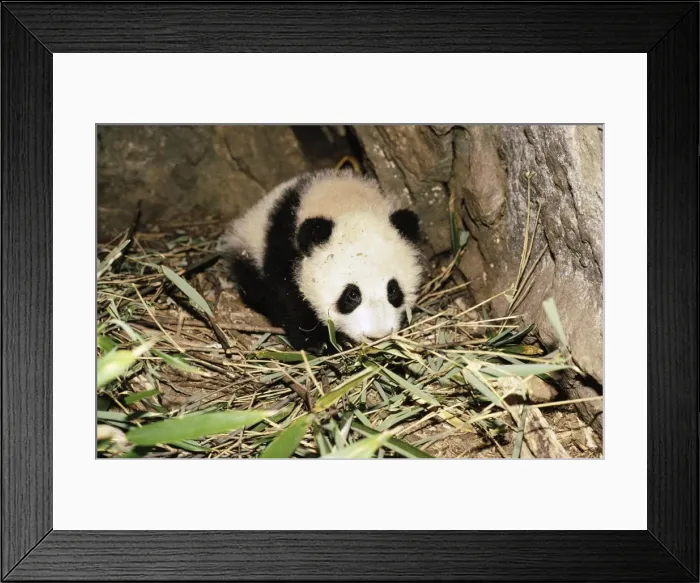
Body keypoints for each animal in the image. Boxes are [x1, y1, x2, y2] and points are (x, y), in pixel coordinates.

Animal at [218, 168, 424, 355]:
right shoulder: (283, 249)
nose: (377, 335)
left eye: (393, 290)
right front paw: (325, 342)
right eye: (352, 295)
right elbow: (287, 297)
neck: (347, 204)